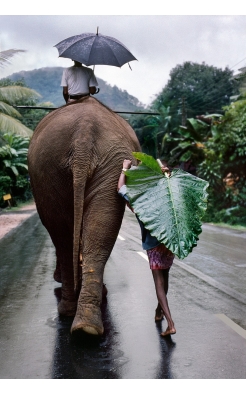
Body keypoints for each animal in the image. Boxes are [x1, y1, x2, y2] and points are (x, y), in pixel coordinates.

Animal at [27, 96, 140, 338]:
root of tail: (83, 134)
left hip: (71, 163)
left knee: (65, 234)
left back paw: (79, 320)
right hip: (55, 165)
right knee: (76, 234)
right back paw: (84, 324)